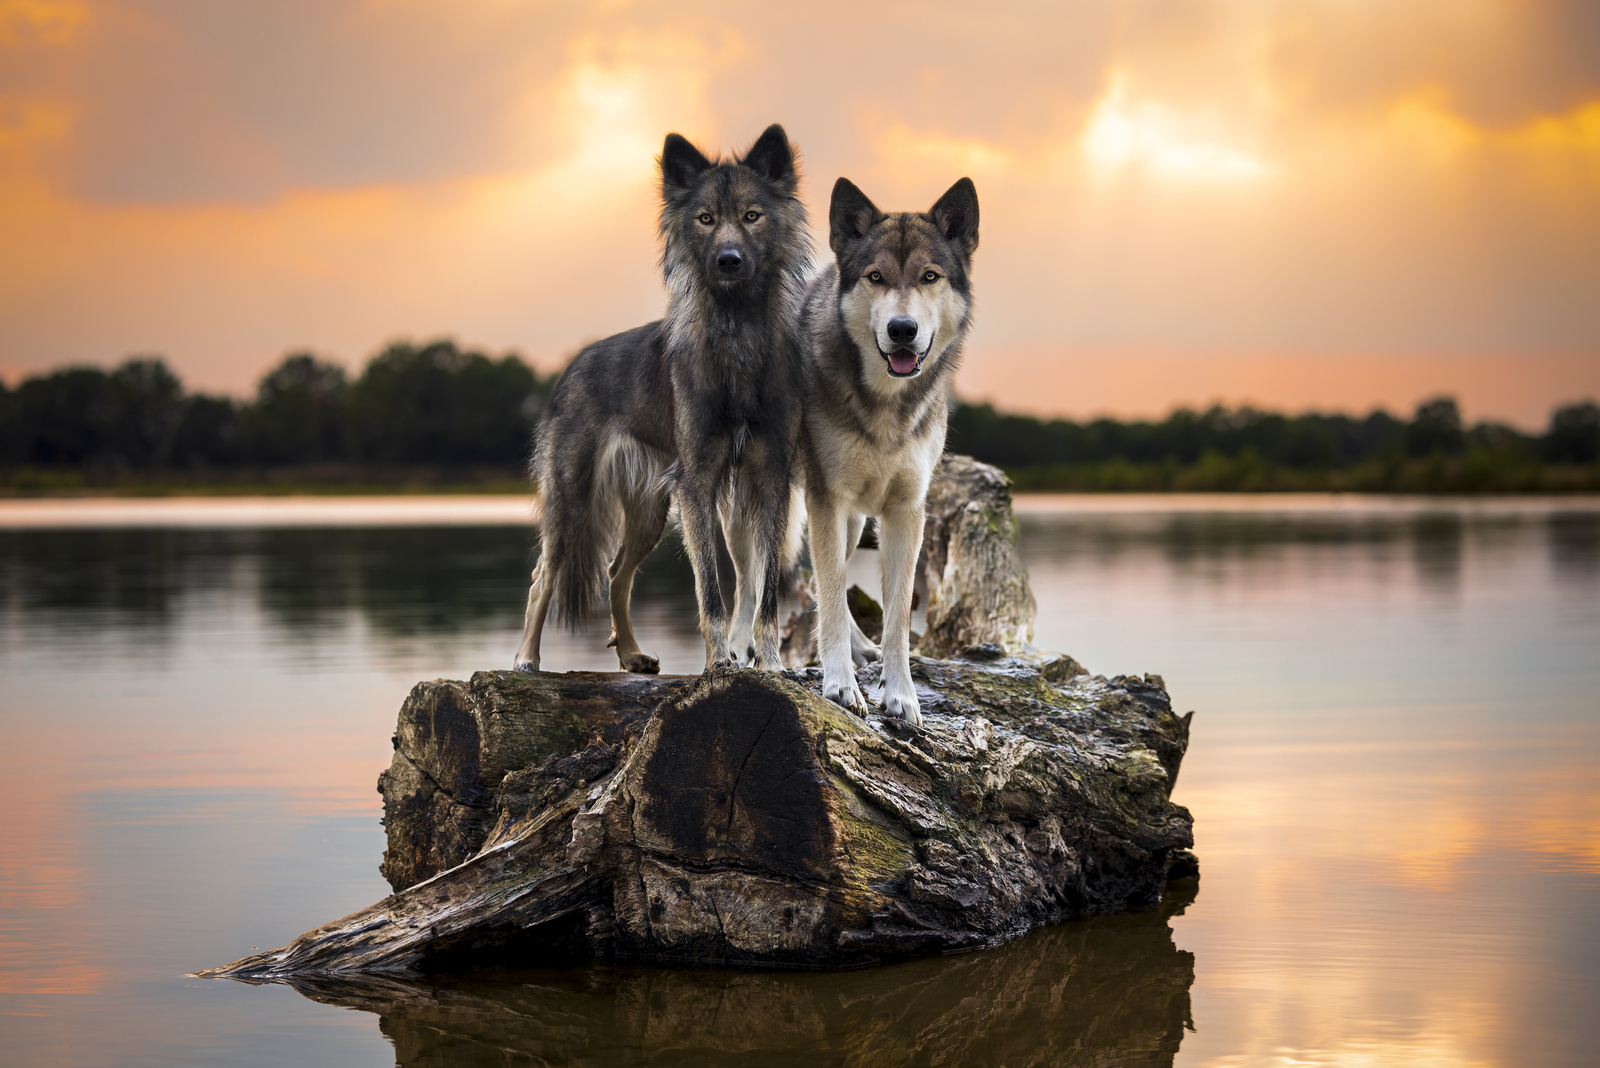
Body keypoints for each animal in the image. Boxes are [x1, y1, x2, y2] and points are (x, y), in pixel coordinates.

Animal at [513, 124, 810, 675]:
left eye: (752, 216)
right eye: (705, 219)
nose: (728, 260)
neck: (736, 332)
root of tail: (572, 366)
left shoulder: (770, 480)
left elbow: (766, 594)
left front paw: (771, 665)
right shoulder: (697, 484)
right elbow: (710, 591)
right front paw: (720, 664)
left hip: (650, 512)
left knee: (616, 572)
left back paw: (631, 654)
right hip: (571, 502)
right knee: (544, 576)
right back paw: (525, 659)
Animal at [798, 176, 979, 725]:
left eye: (929, 277)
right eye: (876, 277)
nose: (902, 329)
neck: (887, 404)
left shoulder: (905, 510)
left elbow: (896, 614)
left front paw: (901, 696)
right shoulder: (826, 500)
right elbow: (833, 597)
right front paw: (839, 686)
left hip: (854, 522)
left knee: (820, 585)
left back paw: (862, 649)